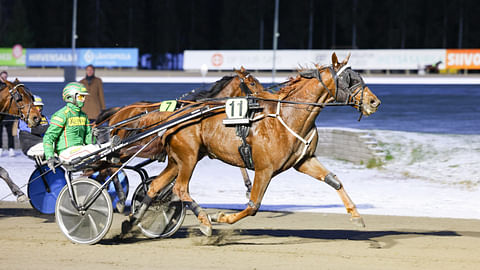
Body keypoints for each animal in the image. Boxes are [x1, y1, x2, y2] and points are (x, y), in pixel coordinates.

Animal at [124, 53, 382, 236]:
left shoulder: (304, 161)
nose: (374, 102)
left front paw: (356, 215)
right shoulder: (264, 169)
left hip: (180, 159)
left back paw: (131, 224)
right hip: (188, 157)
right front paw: (220, 218)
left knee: (155, 187)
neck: (288, 116)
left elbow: (334, 181)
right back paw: (205, 222)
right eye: (350, 79)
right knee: (179, 189)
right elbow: (253, 205)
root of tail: (176, 112)